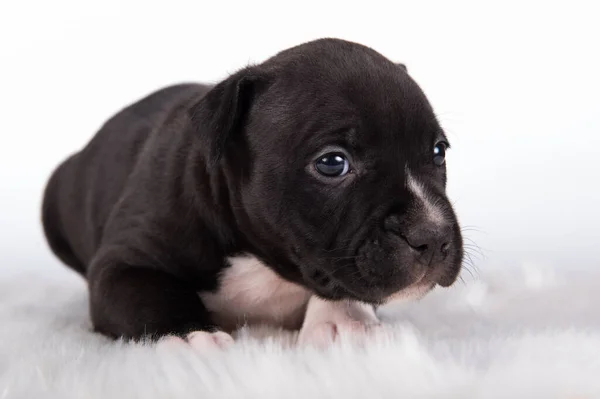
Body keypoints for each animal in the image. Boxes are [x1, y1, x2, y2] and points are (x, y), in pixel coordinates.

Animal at [41, 38, 464, 350]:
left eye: (438, 151)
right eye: (332, 163)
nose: (432, 235)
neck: (262, 261)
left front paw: (346, 320)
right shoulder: (123, 262)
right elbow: (148, 293)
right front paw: (191, 335)